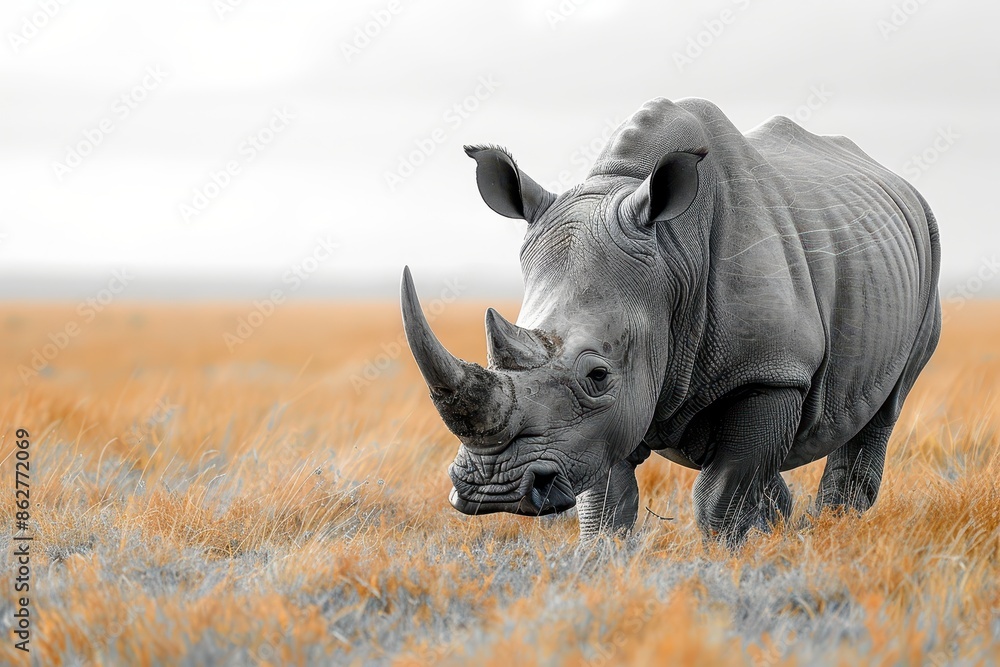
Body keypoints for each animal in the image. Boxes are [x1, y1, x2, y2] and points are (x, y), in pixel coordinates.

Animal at [401, 97, 941, 546]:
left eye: (597, 375)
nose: (494, 489)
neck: (672, 253)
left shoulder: (773, 370)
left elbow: (720, 494)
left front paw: (724, 557)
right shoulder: (603, 421)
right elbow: (607, 500)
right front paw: (602, 556)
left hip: (928, 249)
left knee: (883, 410)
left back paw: (837, 529)